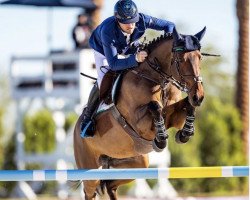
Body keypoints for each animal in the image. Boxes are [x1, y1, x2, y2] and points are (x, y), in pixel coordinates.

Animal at [73, 27, 206, 200]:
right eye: (181, 60)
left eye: (200, 58)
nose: (199, 96)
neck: (154, 78)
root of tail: (76, 128)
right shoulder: (140, 124)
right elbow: (155, 106)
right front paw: (161, 139)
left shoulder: (173, 114)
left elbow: (187, 106)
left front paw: (185, 133)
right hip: (90, 171)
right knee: (91, 190)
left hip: (138, 163)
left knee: (110, 184)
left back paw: (110, 165)